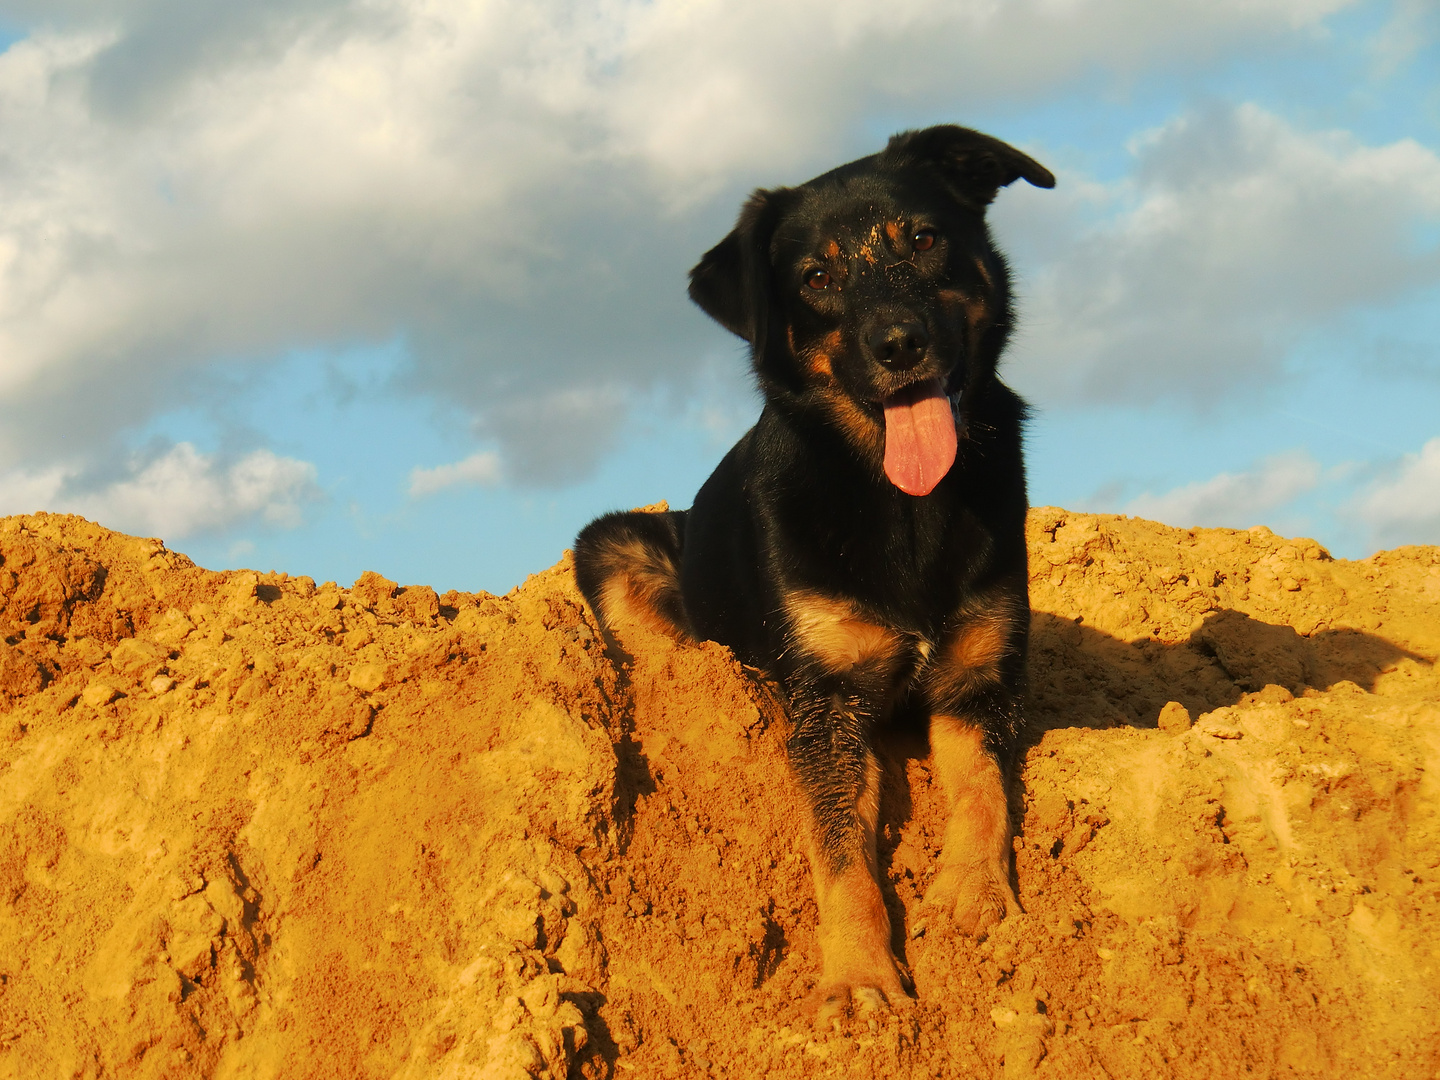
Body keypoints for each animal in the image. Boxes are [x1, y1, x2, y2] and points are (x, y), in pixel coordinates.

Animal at [573, 126, 1059, 1013]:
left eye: (925, 239)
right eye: (818, 278)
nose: (899, 345)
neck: (904, 503)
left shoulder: (980, 679)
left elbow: (983, 790)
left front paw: (973, 895)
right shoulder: (826, 706)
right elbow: (840, 856)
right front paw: (860, 976)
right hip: (614, 544)